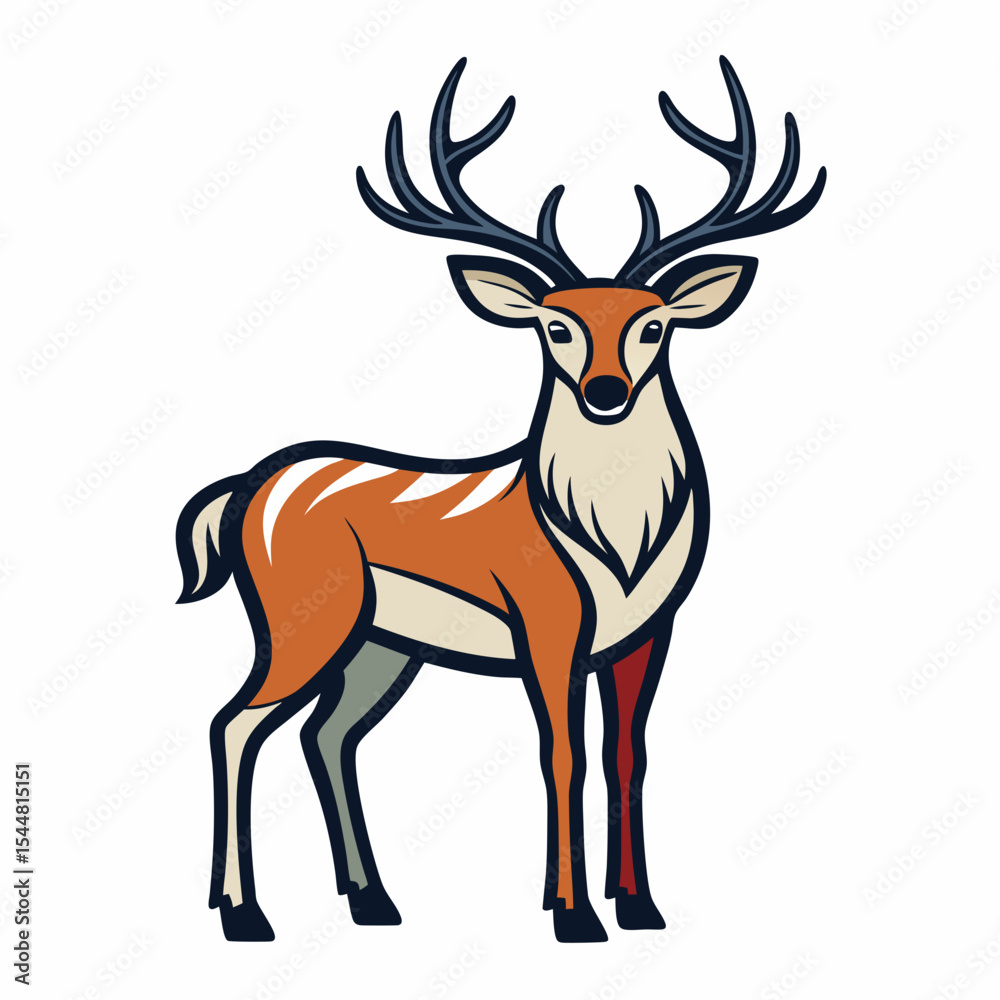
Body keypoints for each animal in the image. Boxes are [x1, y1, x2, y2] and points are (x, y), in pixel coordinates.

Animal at [176, 56, 825, 944]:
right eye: (556, 327)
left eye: (653, 326)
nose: (606, 392)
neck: (614, 543)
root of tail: (244, 489)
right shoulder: (546, 621)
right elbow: (563, 753)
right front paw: (573, 915)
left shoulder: (647, 633)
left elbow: (627, 754)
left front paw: (639, 906)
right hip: (302, 618)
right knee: (235, 722)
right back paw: (244, 914)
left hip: (381, 645)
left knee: (325, 734)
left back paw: (374, 902)